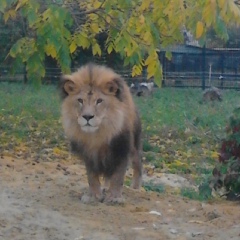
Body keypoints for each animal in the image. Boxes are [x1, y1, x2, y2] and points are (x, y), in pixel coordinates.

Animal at [60, 62, 142, 203]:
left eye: (99, 101)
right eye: (80, 100)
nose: (87, 117)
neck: (98, 135)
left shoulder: (121, 148)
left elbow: (118, 176)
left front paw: (114, 197)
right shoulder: (88, 153)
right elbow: (92, 176)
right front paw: (94, 196)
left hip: (135, 144)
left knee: (137, 162)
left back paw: (136, 187)